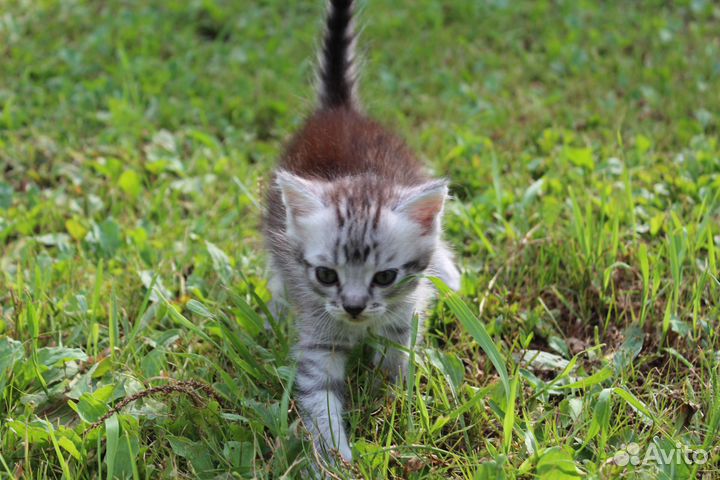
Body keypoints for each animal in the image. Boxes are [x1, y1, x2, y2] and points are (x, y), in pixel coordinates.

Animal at [264, 0, 462, 464]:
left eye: (385, 277)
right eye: (326, 275)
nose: (353, 307)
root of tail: (339, 110)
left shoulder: (402, 323)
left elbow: (396, 370)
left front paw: (399, 417)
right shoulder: (317, 339)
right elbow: (320, 397)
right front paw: (335, 458)